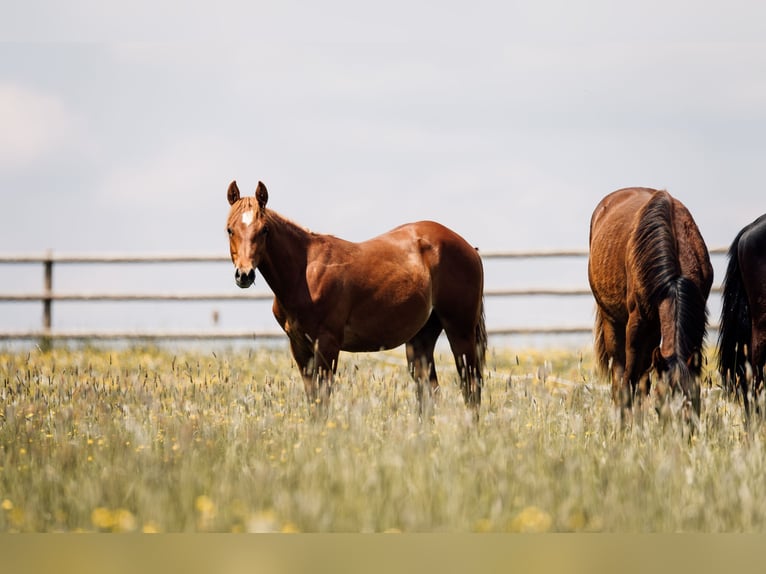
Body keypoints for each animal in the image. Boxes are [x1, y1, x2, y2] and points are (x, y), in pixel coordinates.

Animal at [225, 180, 487, 417]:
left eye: (264, 230)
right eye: (230, 229)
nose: (244, 275)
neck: (304, 273)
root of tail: (468, 248)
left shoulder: (327, 345)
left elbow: (323, 400)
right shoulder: (299, 345)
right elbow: (313, 400)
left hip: (460, 332)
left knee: (471, 388)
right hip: (421, 339)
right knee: (430, 393)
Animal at [588, 187, 713, 422]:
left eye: (694, 399)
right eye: (662, 399)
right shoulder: (636, 324)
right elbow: (628, 380)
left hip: (655, 329)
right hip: (613, 321)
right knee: (619, 372)